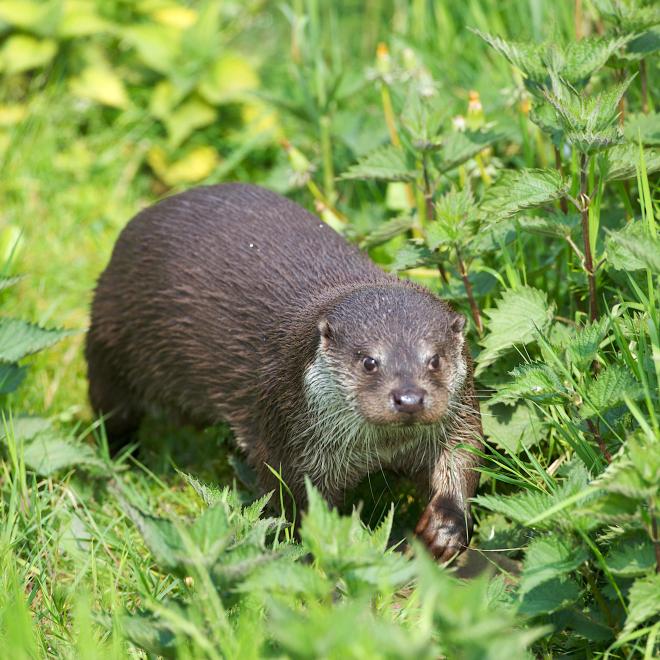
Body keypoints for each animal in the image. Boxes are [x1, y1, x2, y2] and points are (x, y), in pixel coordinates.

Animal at [86, 183, 483, 560]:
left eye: (434, 359)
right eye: (369, 361)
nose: (409, 398)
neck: (382, 449)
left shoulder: (459, 418)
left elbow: (465, 459)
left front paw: (445, 527)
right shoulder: (288, 440)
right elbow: (297, 505)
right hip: (110, 341)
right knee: (110, 410)